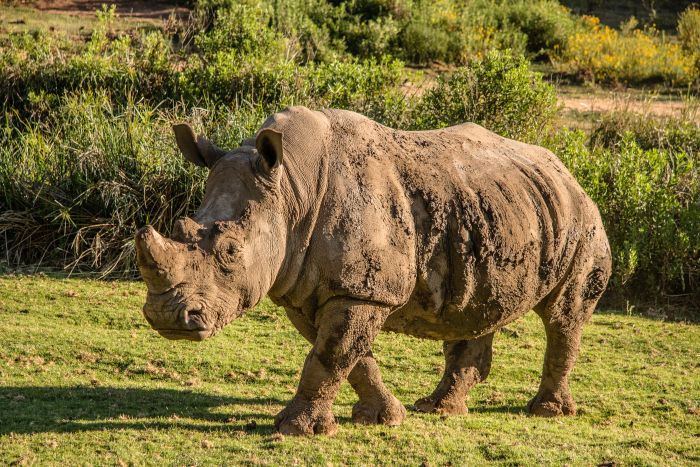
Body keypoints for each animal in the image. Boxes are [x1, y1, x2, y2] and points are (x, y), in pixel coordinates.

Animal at [134, 106, 608, 436]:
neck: (290, 191)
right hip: (497, 211)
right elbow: (349, 356)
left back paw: (546, 412)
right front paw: (384, 418)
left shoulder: (361, 290)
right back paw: (436, 408)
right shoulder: (309, 288)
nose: (166, 318)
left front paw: (295, 429)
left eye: (231, 251)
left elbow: (330, 355)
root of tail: (567, 169)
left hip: (580, 218)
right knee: (476, 311)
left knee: (563, 315)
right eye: (181, 228)